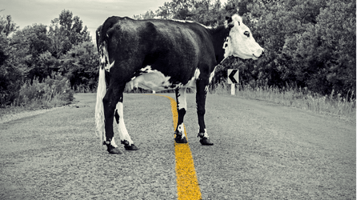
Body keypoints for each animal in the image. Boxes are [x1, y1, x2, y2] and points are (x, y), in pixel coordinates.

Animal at [94, 14, 262, 155]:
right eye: (246, 33)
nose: (262, 50)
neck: (210, 40)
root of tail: (116, 18)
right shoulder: (204, 77)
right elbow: (201, 108)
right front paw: (204, 137)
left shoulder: (181, 83)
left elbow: (182, 109)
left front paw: (180, 136)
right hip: (120, 76)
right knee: (108, 102)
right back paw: (112, 145)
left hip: (114, 78)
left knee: (118, 109)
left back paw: (128, 142)